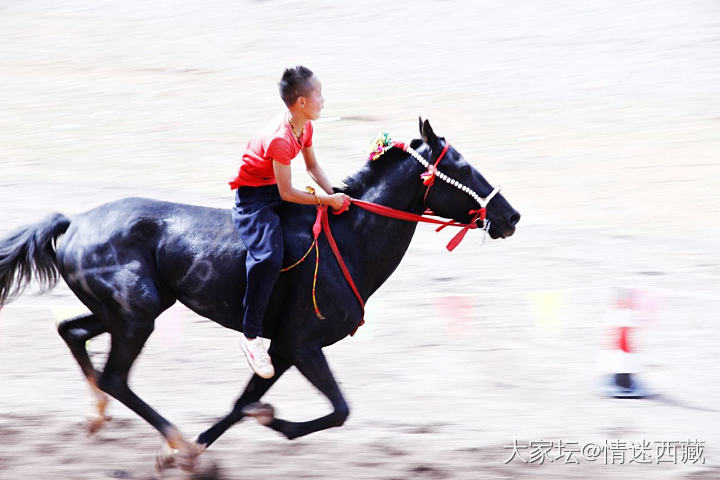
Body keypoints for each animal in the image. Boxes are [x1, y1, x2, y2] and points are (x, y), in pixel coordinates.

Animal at [0, 120, 516, 468]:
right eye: (463, 166)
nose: (511, 216)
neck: (348, 241)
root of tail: (73, 223)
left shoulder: (281, 350)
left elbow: (241, 404)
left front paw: (191, 453)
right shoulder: (301, 343)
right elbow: (337, 410)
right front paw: (234, 433)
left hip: (128, 310)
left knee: (72, 333)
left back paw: (103, 418)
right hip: (136, 316)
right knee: (115, 377)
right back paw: (160, 431)